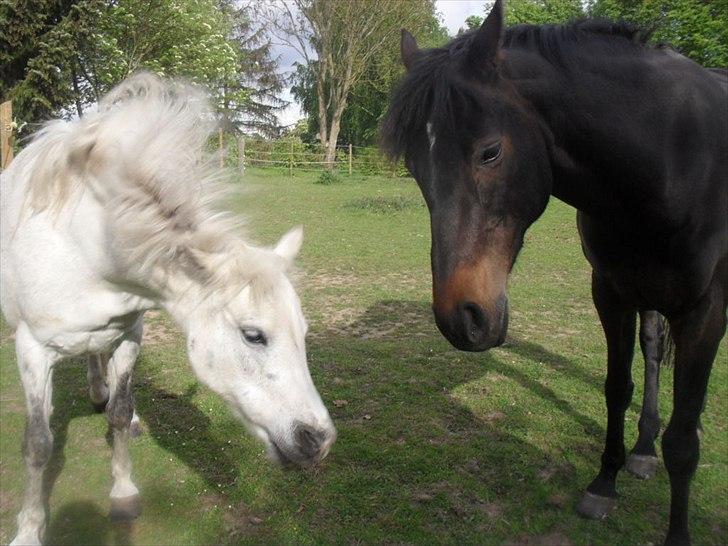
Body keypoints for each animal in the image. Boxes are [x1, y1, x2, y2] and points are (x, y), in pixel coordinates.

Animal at [0, 73, 336, 546]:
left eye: (304, 333)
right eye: (253, 335)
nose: (318, 440)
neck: (89, 247)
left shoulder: (129, 334)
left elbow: (120, 414)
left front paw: (123, 493)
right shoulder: (31, 349)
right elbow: (37, 444)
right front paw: (29, 530)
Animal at [381, 2, 726, 544]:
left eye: (490, 152)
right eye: (416, 168)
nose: (461, 320)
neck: (674, 153)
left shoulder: (705, 310)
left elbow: (684, 441)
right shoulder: (611, 292)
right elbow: (616, 388)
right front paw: (605, 483)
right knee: (651, 349)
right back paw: (642, 450)